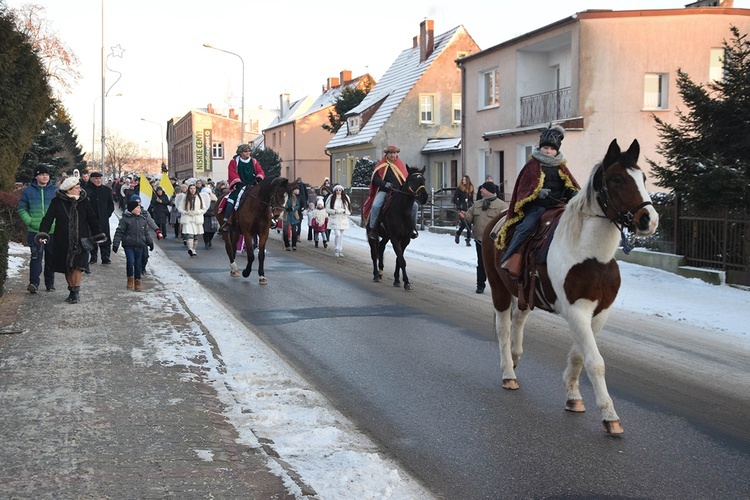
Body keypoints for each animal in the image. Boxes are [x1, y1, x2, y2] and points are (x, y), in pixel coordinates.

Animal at [484, 138, 660, 434]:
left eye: (643, 178)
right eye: (617, 179)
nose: (649, 220)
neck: (592, 256)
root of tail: (496, 222)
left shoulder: (599, 313)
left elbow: (580, 356)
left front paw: (573, 396)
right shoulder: (577, 312)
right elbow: (595, 362)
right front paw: (609, 415)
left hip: (525, 293)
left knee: (519, 319)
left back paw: (516, 357)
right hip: (499, 288)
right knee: (504, 328)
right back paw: (508, 372)